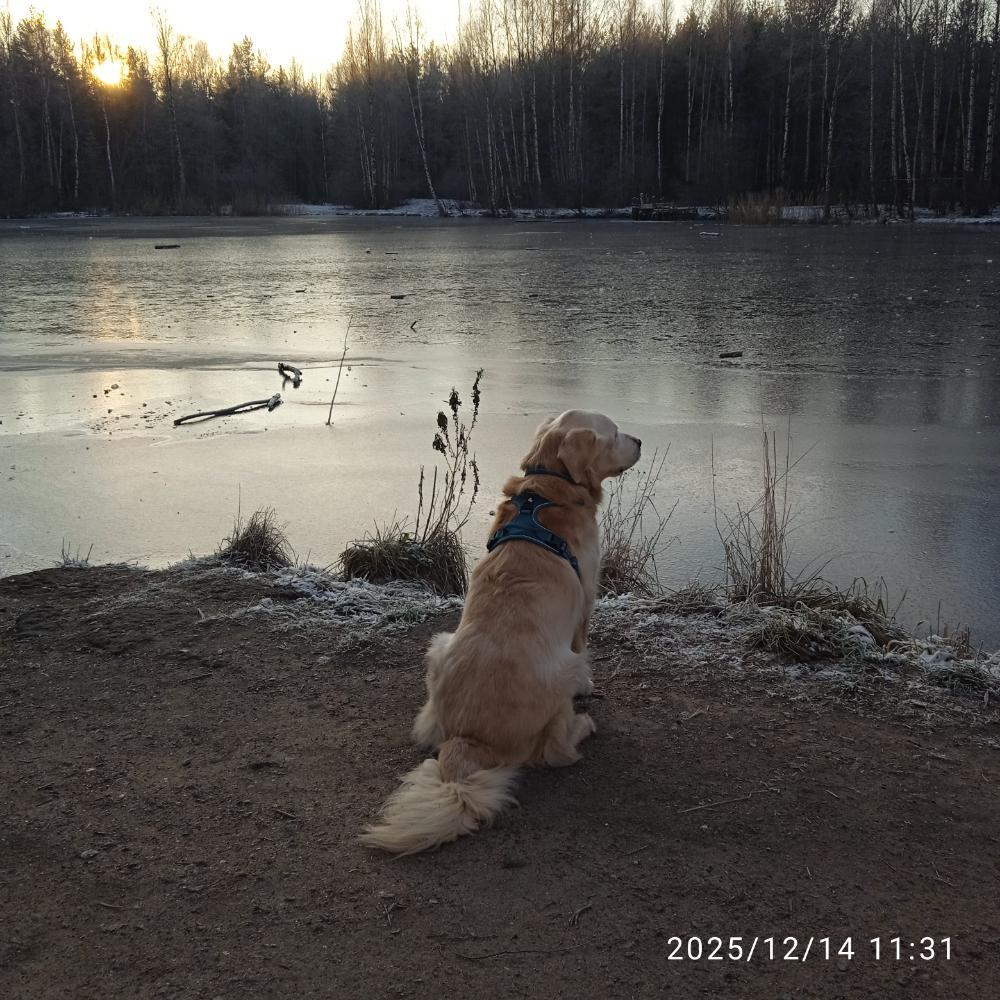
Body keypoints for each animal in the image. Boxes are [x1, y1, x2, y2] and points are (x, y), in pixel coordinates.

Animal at [360, 410, 642, 854]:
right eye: (614, 434)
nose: (641, 441)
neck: (549, 487)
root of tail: (467, 741)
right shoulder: (587, 600)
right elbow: (585, 644)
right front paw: (589, 691)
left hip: (439, 645)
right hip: (562, 671)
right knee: (556, 750)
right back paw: (582, 726)